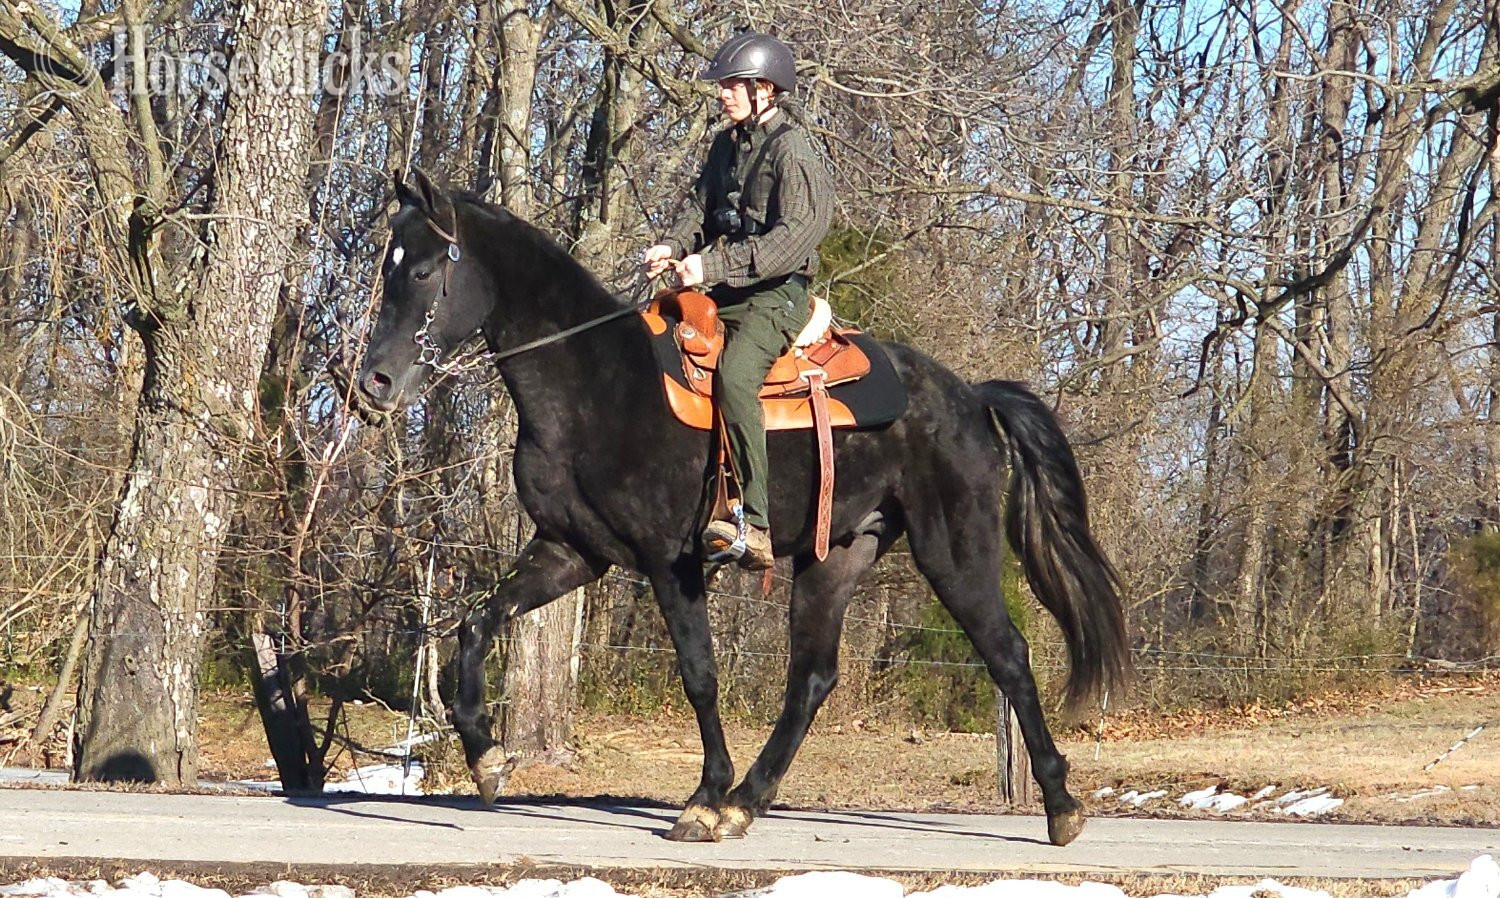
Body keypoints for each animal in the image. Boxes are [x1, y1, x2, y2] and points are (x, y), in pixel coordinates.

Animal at [350, 169, 1130, 846]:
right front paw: (486, 758)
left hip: (955, 553)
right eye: (389, 266)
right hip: (836, 557)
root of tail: (971, 397)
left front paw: (701, 796)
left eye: (423, 271)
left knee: (1007, 655)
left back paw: (1061, 806)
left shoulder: (671, 561)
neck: (593, 381)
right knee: (812, 679)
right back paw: (746, 803)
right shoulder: (571, 551)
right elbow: (475, 625)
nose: (373, 383)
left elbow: (699, 674)